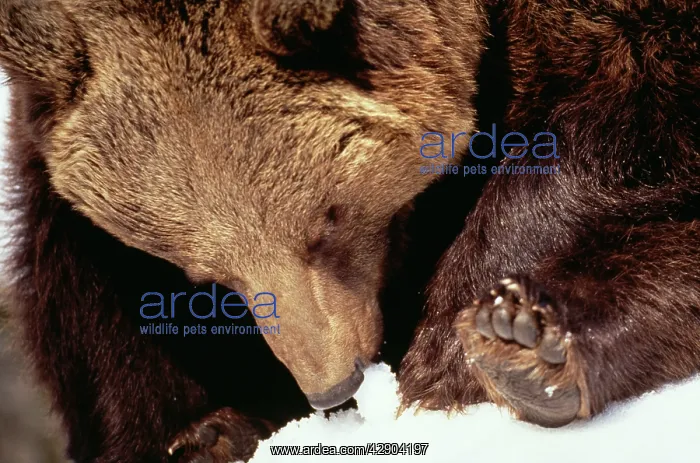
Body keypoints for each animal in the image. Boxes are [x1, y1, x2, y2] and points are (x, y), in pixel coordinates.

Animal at [1, 0, 699, 462]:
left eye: (326, 221)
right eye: (209, 274)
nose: (331, 385)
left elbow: (624, 104)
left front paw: (443, 357)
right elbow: (92, 296)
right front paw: (195, 430)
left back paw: (528, 347)